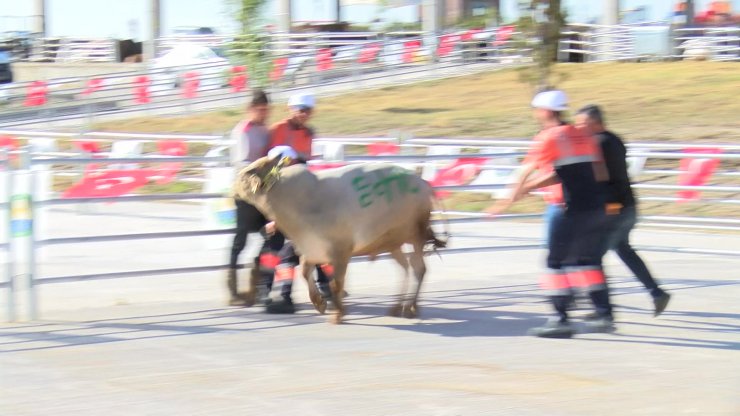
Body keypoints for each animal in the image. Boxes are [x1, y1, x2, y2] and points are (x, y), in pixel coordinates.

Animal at [236, 154, 446, 324]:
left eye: (247, 172)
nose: (233, 186)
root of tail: (422, 182)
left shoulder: (340, 251)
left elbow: (336, 283)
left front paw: (338, 314)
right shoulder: (311, 249)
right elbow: (305, 272)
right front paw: (319, 303)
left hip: (416, 235)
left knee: (419, 269)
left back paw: (411, 308)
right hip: (393, 242)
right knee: (405, 267)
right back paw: (396, 307)